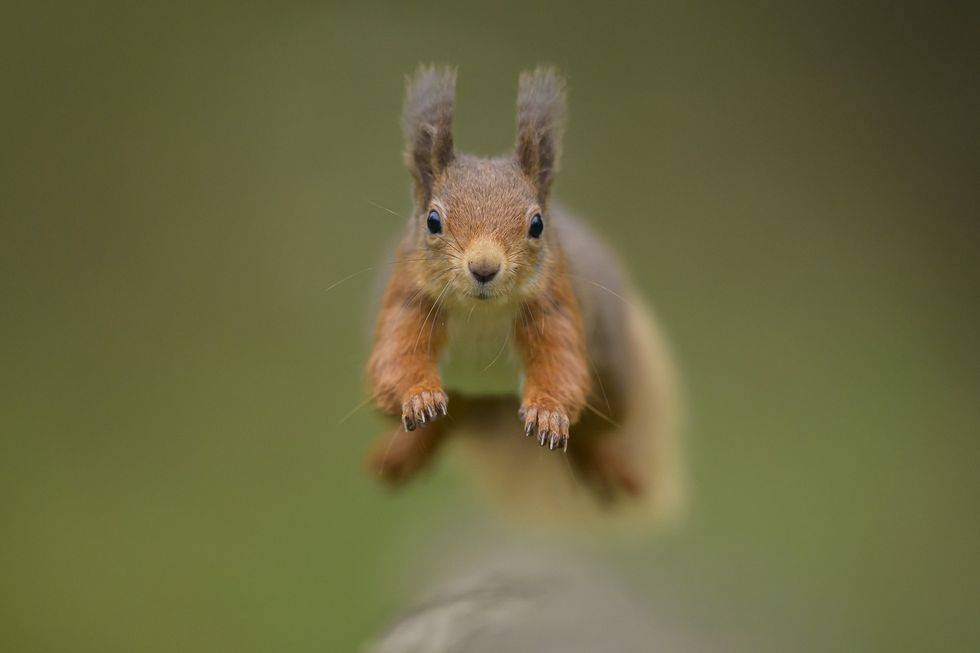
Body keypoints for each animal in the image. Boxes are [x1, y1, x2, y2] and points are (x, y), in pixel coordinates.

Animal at [364, 65, 683, 529]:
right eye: (433, 221)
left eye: (536, 225)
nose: (484, 268)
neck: (480, 313)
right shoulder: (410, 301)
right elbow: (394, 360)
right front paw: (419, 397)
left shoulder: (553, 306)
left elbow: (562, 367)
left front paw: (547, 414)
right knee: (442, 422)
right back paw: (405, 453)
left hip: (615, 387)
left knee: (589, 429)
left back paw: (605, 467)